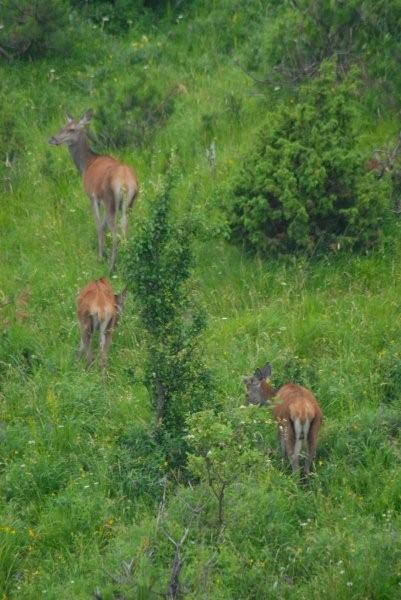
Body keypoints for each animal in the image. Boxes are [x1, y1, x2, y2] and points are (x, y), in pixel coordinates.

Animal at [48, 110, 138, 272]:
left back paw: (111, 266)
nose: (52, 139)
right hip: (129, 203)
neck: (86, 165)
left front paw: (100, 257)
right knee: (125, 228)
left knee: (115, 232)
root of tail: (126, 183)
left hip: (111, 200)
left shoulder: (92, 196)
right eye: (63, 126)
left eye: (72, 129)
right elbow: (102, 226)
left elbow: (98, 225)